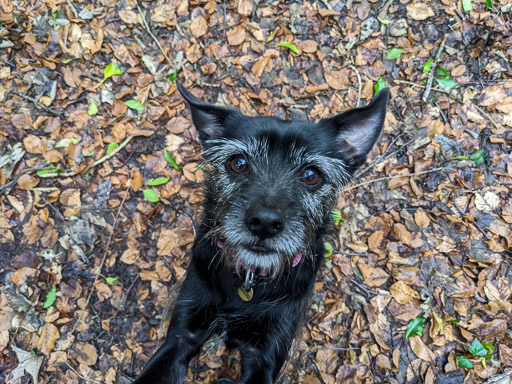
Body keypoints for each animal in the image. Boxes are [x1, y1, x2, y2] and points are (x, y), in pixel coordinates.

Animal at [134, 82, 390, 382]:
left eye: (311, 175)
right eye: (238, 163)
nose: (265, 223)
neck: (250, 282)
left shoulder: (267, 352)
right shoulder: (183, 333)